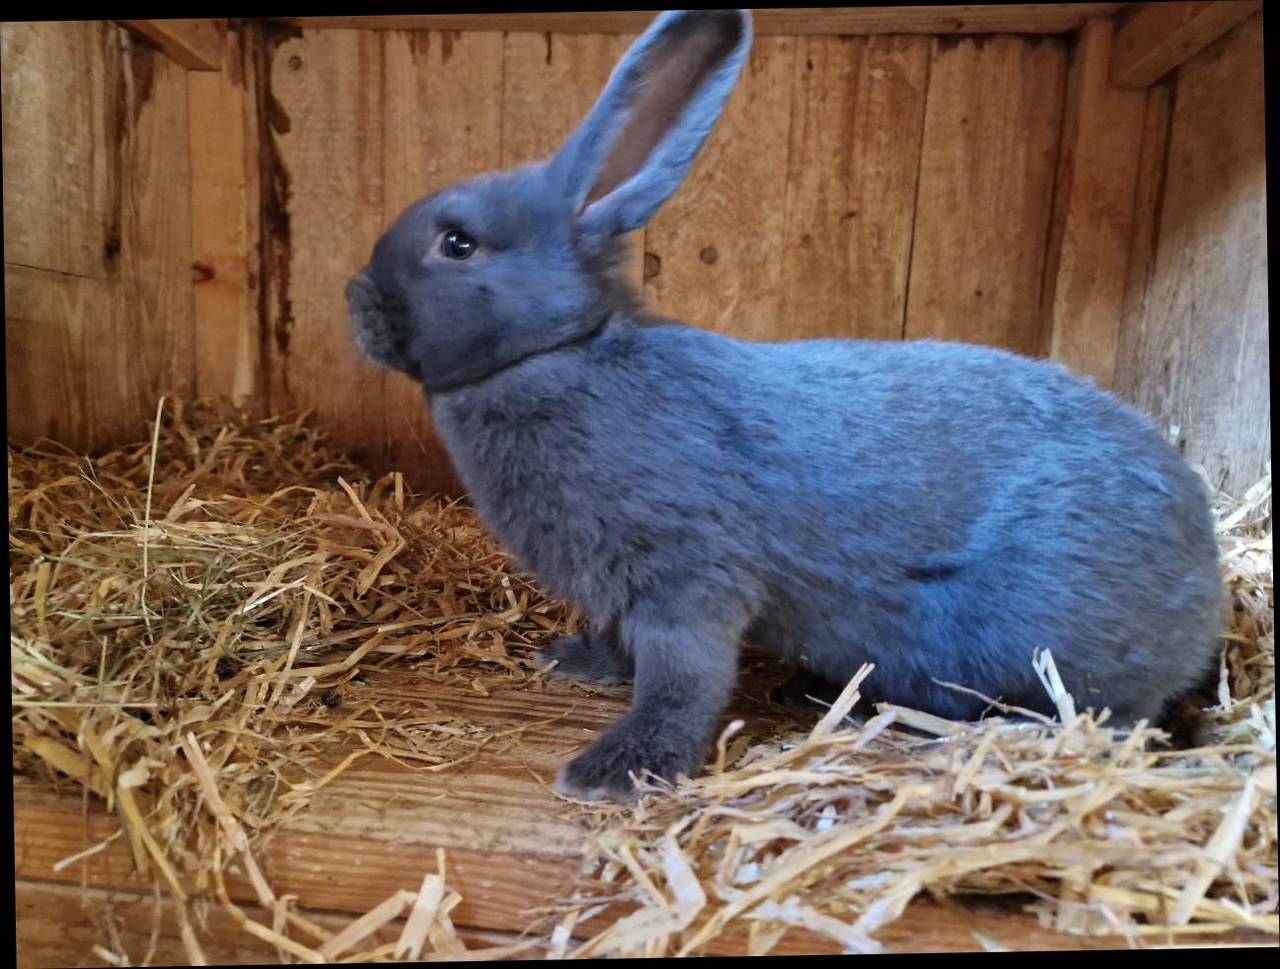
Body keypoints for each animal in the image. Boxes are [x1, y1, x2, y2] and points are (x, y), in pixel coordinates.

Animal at [345, 9, 1223, 803]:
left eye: (458, 243)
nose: (353, 300)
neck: (563, 351)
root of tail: (1206, 593)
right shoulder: (633, 594)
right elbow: (626, 649)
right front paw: (576, 662)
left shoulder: (688, 581)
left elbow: (681, 679)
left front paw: (616, 770)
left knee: (1109, 719)